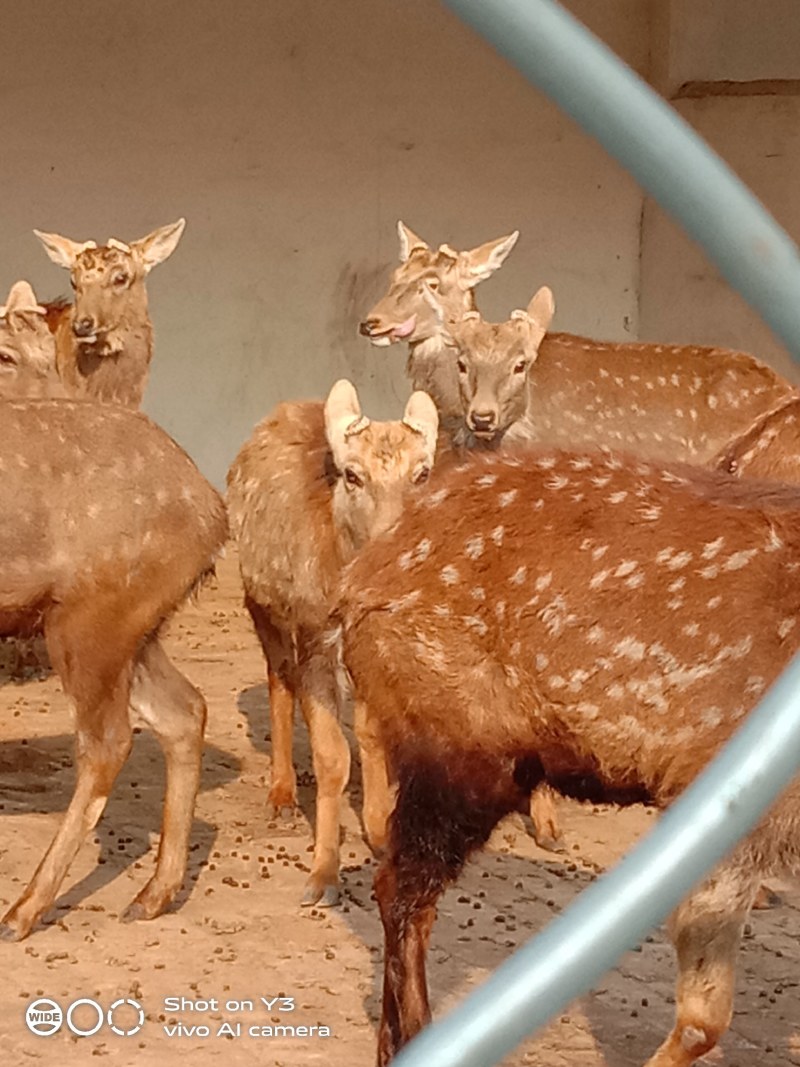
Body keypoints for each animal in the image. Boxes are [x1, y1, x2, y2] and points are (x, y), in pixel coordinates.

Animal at [0, 397, 227, 940]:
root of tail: (213, 513)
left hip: (89, 619)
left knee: (108, 741)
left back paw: (21, 912)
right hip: (136, 629)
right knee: (185, 709)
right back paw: (153, 897)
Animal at [226, 379, 439, 907]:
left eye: (423, 472)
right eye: (352, 475)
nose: (396, 539)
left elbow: (371, 731)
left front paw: (380, 829)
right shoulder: (314, 635)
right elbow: (330, 755)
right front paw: (323, 874)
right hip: (261, 605)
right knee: (279, 679)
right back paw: (281, 795)